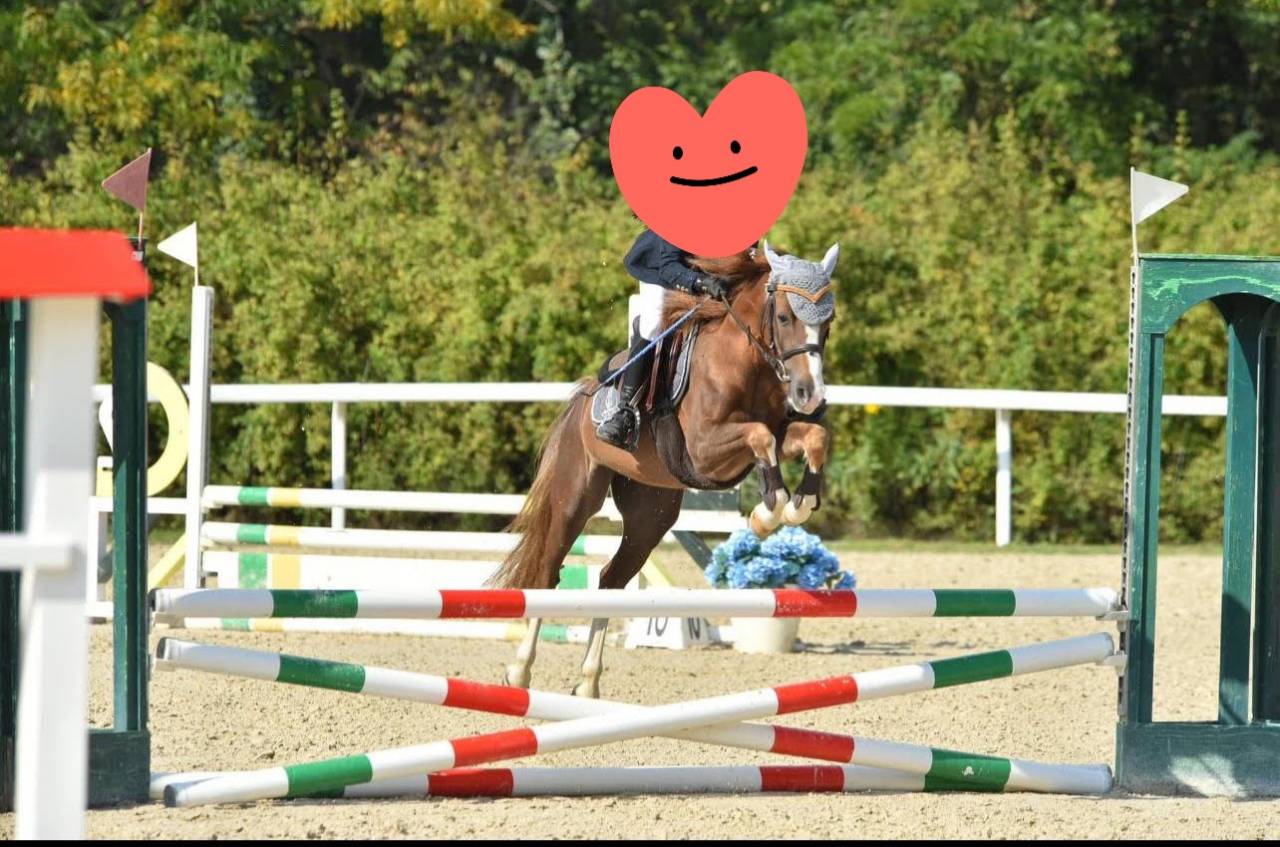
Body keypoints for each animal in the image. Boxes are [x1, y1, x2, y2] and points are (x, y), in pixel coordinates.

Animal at [490, 240, 839, 697]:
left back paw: (588, 684)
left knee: (611, 579)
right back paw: (518, 673)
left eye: (828, 323)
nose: (810, 395)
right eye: (784, 317)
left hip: (650, 513)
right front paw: (767, 513)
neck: (745, 363)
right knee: (548, 574)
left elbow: (811, 437)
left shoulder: (777, 431)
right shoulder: (706, 450)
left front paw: (795, 504)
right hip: (574, 500)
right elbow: (761, 437)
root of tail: (583, 397)